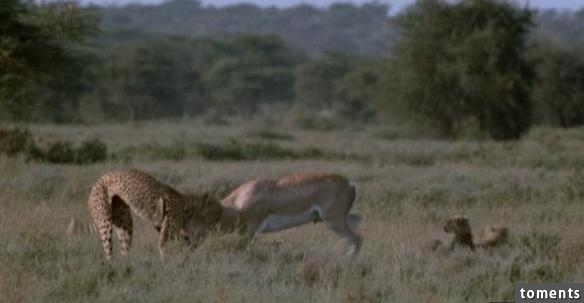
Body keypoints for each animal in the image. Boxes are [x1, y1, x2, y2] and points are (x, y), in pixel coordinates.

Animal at [85, 170, 216, 260]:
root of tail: (97, 182)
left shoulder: (161, 226)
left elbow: (185, 243)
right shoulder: (167, 232)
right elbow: (165, 249)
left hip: (124, 221)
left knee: (124, 248)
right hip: (105, 222)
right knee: (108, 252)